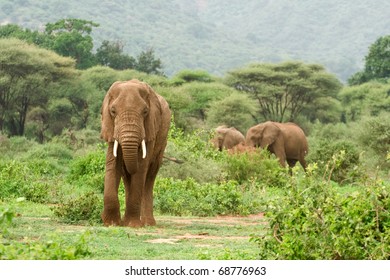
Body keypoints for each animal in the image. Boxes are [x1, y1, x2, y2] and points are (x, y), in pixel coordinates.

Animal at [100, 79, 170, 228]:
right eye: (113, 111)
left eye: (145, 111)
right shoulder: (111, 128)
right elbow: (113, 163)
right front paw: (111, 223)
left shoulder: (150, 127)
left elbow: (141, 168)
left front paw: (133, 225)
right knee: (127, 177)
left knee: (150, 176)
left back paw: (148, 223)